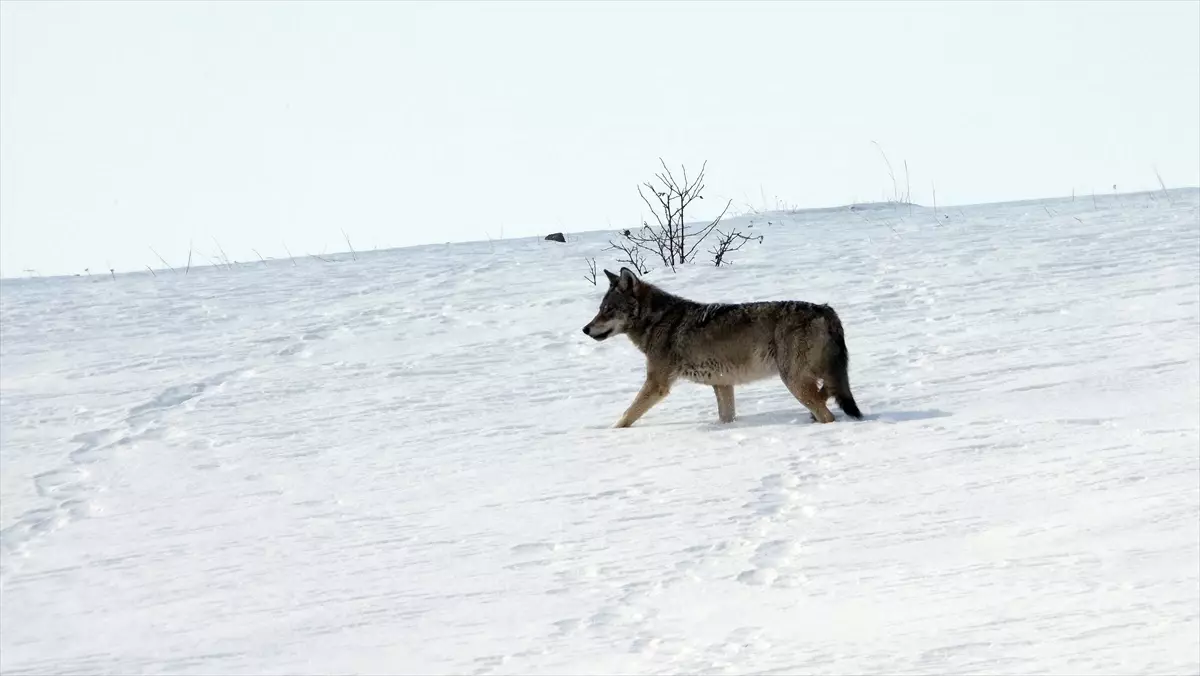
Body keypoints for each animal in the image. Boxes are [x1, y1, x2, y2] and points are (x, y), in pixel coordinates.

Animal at [580, 268, 864, 427]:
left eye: (608, 310)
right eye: (600, 310)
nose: (585, 329)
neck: (657, 321)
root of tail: (826, 310)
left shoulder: (657, 384)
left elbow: (626, 416)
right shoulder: (723, 384)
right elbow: (726, 417)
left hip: (793, 381)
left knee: (827, 412)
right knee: (828, 394)